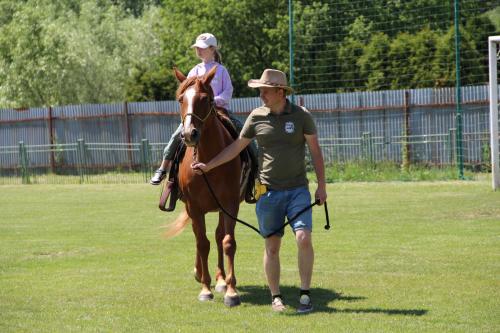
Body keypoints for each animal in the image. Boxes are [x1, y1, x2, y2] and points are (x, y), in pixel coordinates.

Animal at [165, 65, 241, 306]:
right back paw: (201, 274)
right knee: (201, 237)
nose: (189, 134)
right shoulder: (194, 207)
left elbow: (227, 242)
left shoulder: (230, 204)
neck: (208, 162)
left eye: (205, 99)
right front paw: (205, 288)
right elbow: (202, 243)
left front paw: (230, 291)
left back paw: (221, 279)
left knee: (218, 236)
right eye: (181, 99)